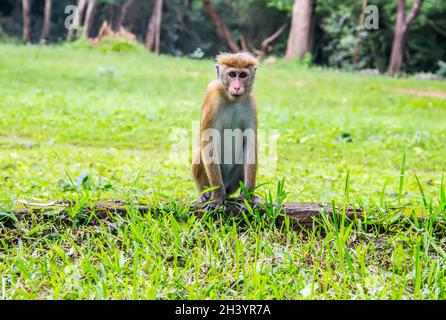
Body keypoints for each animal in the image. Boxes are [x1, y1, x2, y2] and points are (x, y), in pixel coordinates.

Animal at [191, 51, 260, 211]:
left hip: (233, 181)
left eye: (242, 75)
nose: (237, 87)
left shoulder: (250, 104)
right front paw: (217, 197)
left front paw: (247, 197)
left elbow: (250, 144)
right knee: (200, 153)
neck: (232, 100)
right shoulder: (213, 101)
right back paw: (205, 194)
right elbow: (208, 144)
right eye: (232, 74)